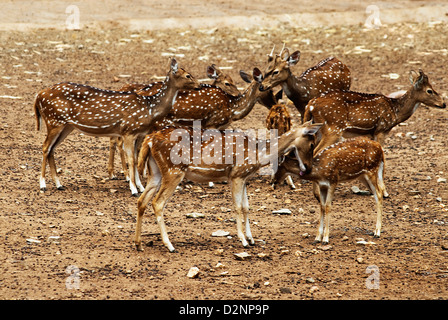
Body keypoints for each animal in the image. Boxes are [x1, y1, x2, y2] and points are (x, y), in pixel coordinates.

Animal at [35, 57, 201, 195]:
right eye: (188, 75)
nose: (199, 85)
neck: (150, 109)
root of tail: (38, 96)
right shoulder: (128, 131)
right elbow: (131, 160)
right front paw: (134, 189)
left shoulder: (139, 134)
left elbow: (135, 158)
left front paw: (140, 187)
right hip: (54, 121)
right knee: (45, 147)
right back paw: (43, 185)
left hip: (66, 126)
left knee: (52, 149)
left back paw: (59, 184)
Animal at [302, 69, 446, 156]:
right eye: (429, 91)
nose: (443, 103)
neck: (395, 111)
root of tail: (311, 105)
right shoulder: (380, 130)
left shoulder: (370, 134)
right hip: (333, 128)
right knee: (315, 151)